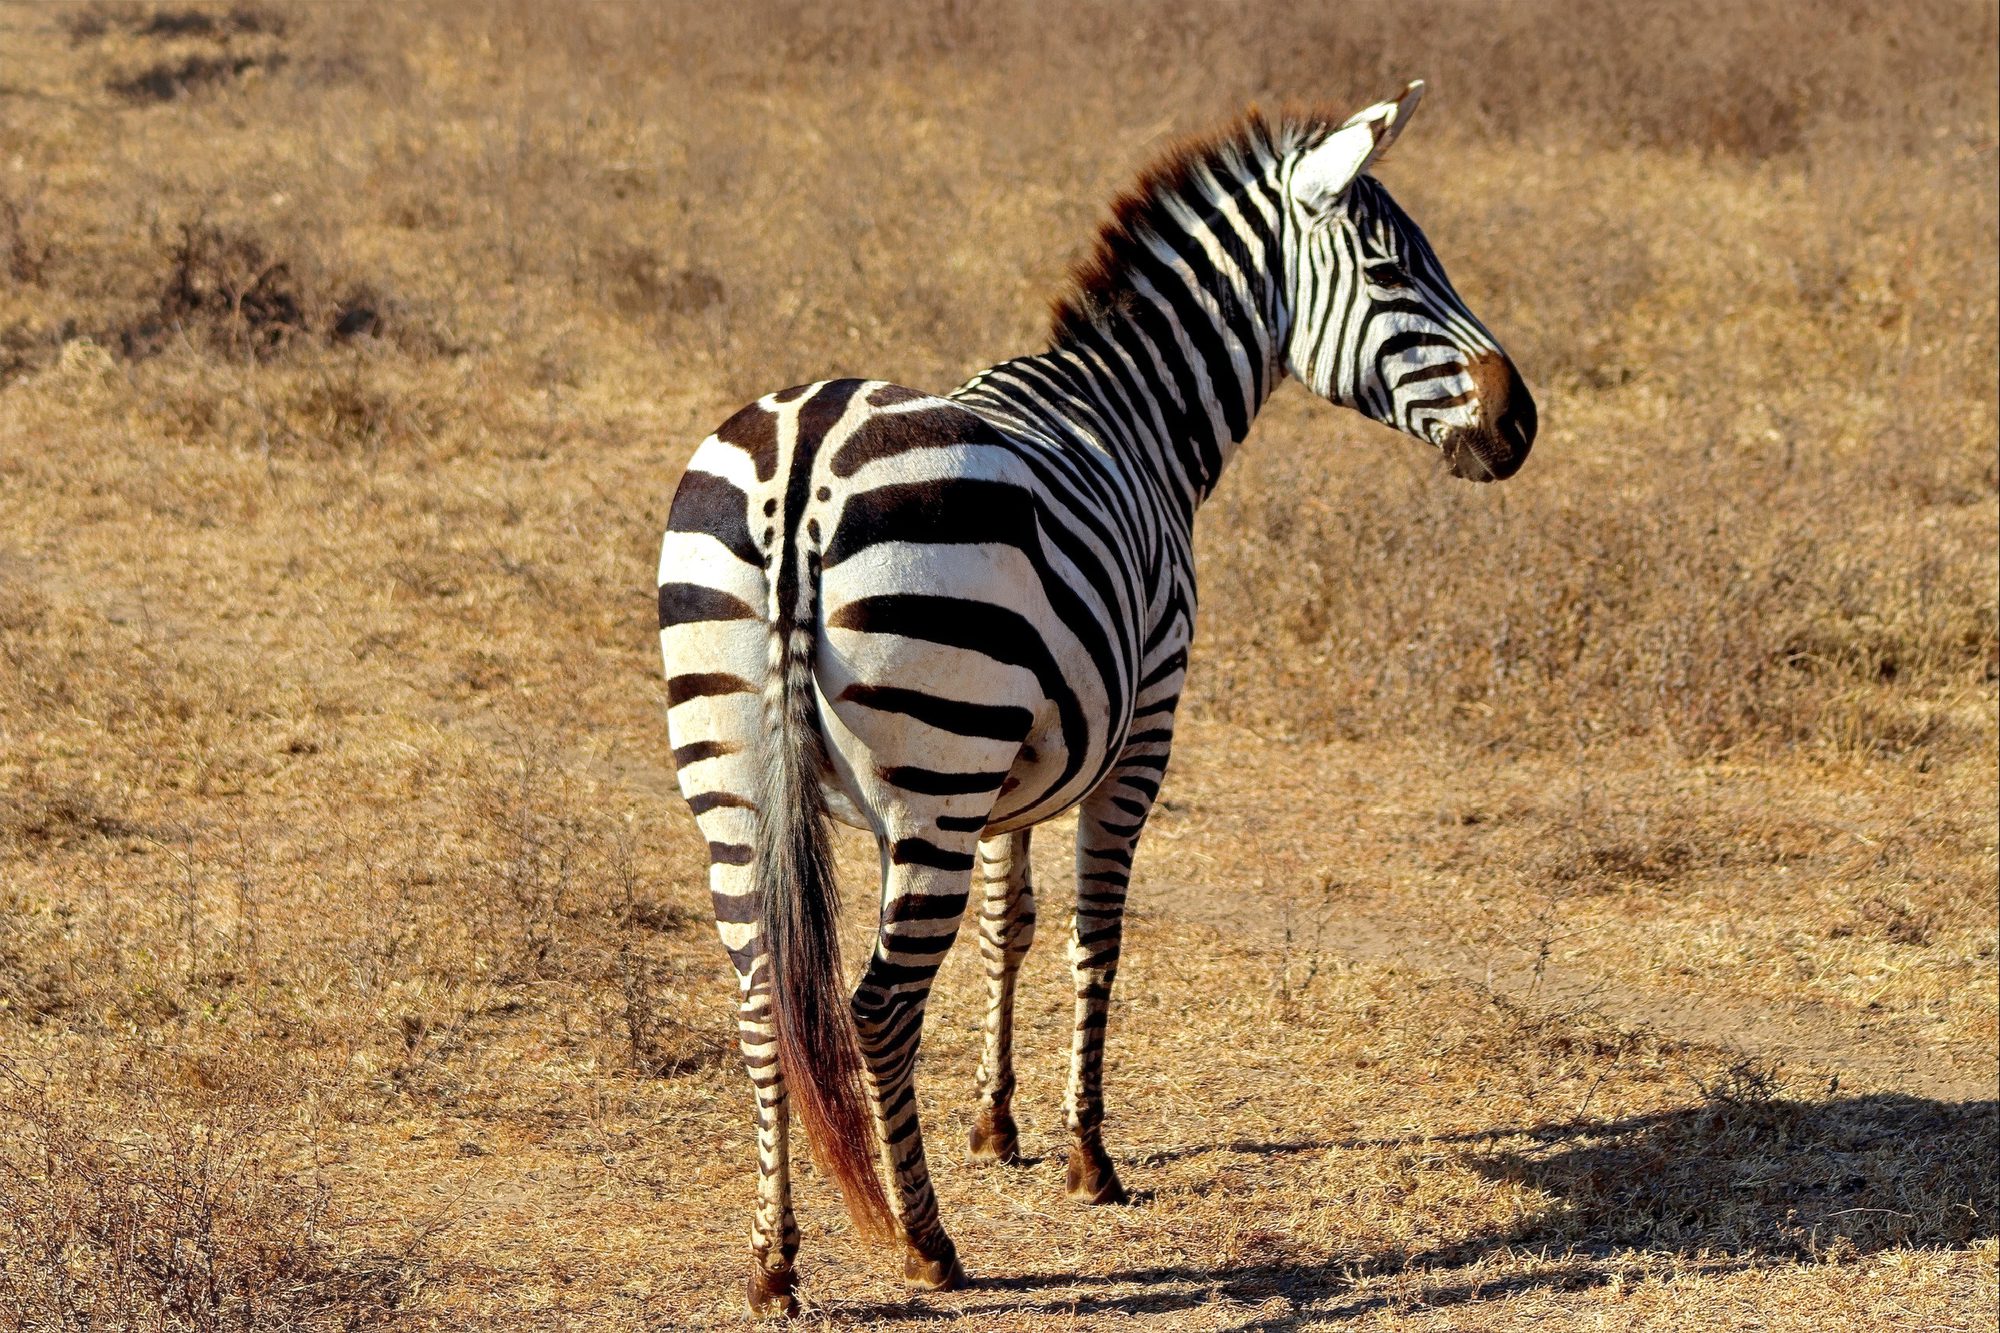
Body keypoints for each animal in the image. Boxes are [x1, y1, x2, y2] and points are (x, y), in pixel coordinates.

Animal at [656, 82, 1535, 1315]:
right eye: (1390, 269)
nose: (1521, 424)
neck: (1136, 413)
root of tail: (801, 459)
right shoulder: (1138, 729)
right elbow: (1094, 931)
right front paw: (1086, 1153)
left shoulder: (1009, 771)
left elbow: (1006, 924)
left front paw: (995, 1122)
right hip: (934, 773)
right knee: (877, 1003)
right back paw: (927, 1243)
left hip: (743, 774)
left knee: (763, 995)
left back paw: (773, 1261)